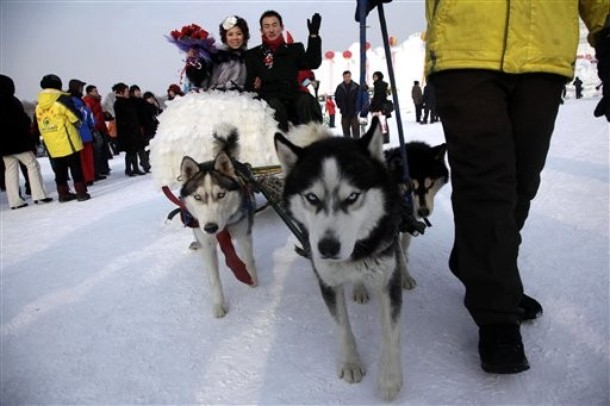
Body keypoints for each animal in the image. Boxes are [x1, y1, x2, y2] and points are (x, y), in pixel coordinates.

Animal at [180, 125, 256, 318]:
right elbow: (214, 278)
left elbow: (248, 260)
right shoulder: (207, 245)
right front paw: (219, 304)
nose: (211, 227)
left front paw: (252, 279)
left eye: (221, 195)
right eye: (197, 197)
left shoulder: (243, 234)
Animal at [274, 116, 404, 400]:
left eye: (352, 196)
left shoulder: (388, 280)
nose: (327, 248)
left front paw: (390, 378)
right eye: (312, 197)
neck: (357, 253)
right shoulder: (328, 282)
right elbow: (343, 325)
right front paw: (350, 363)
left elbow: (390, 331)